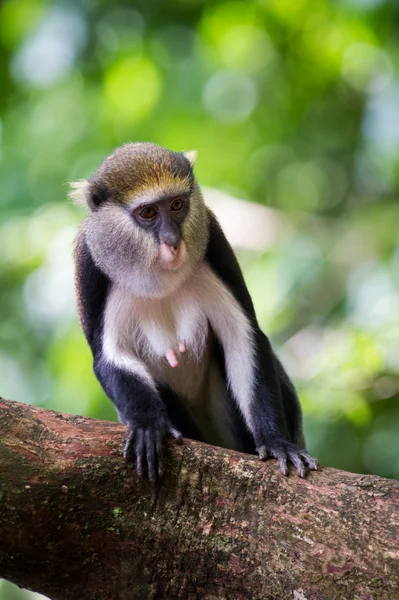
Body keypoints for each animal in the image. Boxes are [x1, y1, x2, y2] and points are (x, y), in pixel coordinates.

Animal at [70, 143, 318, 486]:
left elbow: (243, 335)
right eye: (148, 213)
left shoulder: (214, 239)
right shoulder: (89, 265)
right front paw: (148, 425)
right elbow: (111, 356)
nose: (173, 241)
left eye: (177, 205)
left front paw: (276, 441)